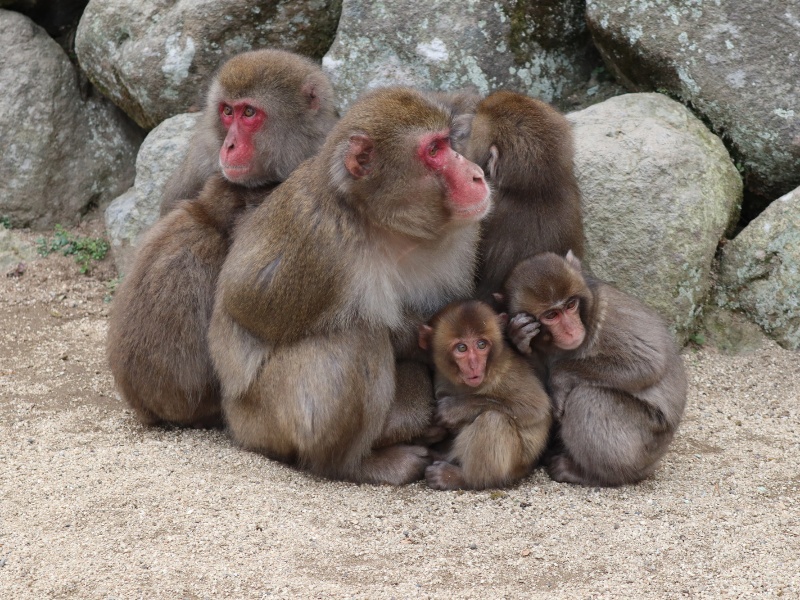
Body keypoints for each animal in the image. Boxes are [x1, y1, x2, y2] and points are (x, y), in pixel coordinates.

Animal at [416, 298, 552, 490]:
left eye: (481, 345)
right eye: (462, 348)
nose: (474, 365)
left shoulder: (506, 371)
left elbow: (534, 407)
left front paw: (455, 409)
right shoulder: (442, 377)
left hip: (514, 470)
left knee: (493, 419)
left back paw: (461, 478)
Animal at [506, 251, 688, 486]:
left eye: (571, 305)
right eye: (551, 315)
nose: (571, 330)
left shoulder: (608, 319)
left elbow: (646, 364)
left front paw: (559, 379)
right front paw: (519, 337)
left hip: (646, 441)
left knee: (586, 397)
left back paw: (592, 474)